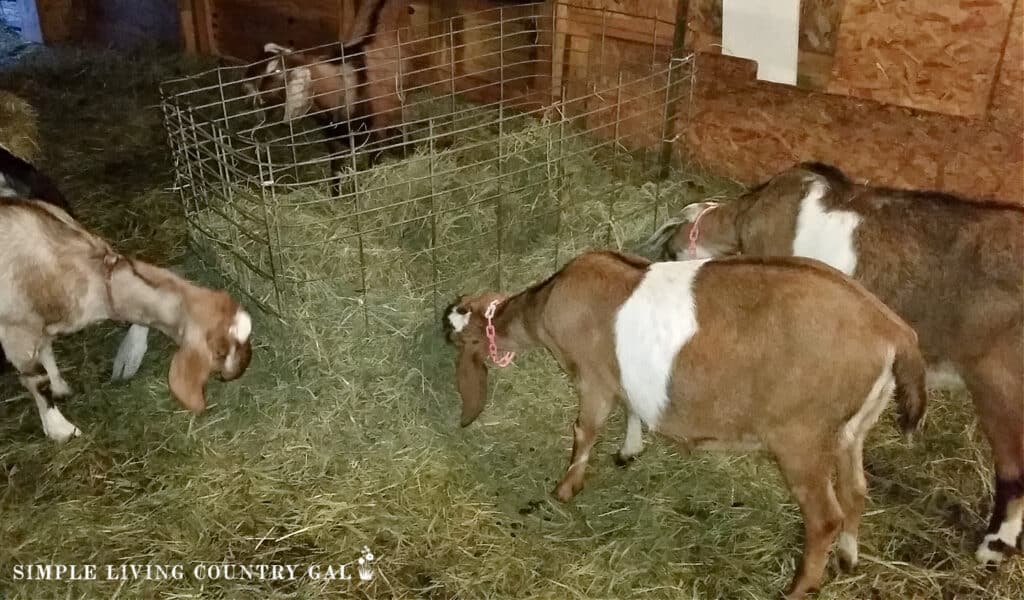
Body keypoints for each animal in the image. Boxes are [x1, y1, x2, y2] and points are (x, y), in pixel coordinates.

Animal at [0, 198, 253, 442]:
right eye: (220, 351)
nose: (242, 368)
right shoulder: (16, 332)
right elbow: (38, 379)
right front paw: (59, 428)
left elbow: (46, 353)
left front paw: (59, 387)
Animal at [241, 0, 409, 176]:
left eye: (276, 71)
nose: (245, 85)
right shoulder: (333, 138)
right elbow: (335, 170)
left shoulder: (378, 128)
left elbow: (374, 161)